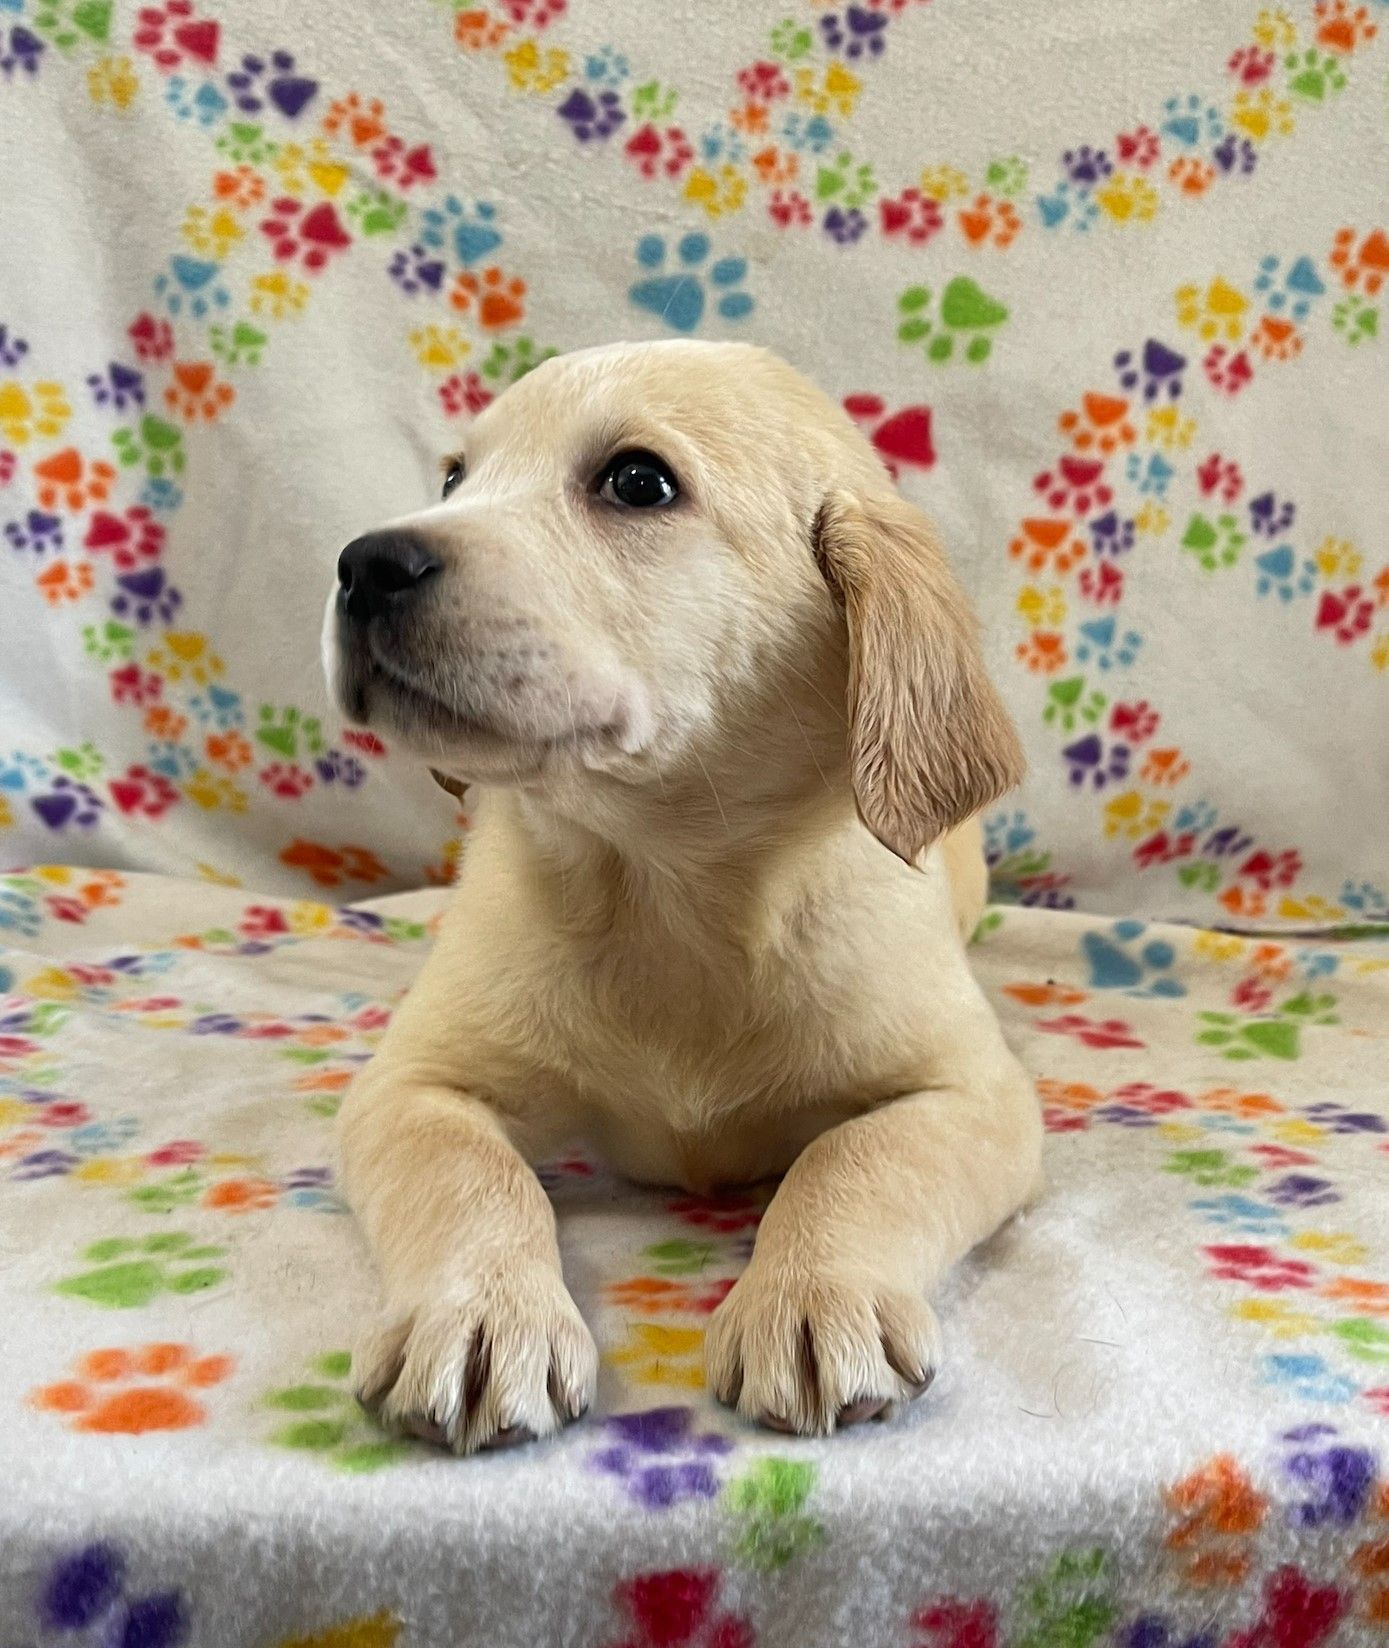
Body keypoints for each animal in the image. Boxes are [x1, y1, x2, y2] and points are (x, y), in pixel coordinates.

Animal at [322, 337, 1041, 1456]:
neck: (663, 886)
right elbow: (470, 1174)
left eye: (637, 481)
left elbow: (857, 1157)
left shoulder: (976, 1095)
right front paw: (478, 1314)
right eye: (452, 479)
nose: (362, 565)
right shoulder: (411, 1086)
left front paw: (814, 1294)